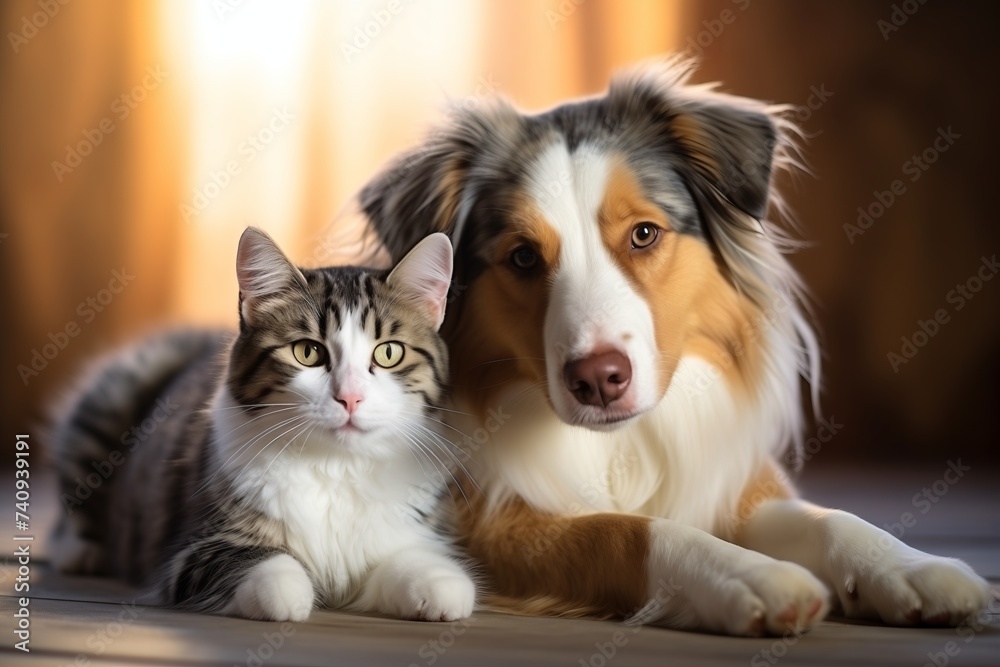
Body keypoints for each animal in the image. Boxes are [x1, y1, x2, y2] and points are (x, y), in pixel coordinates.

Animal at [50, 227, 476, 624]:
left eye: (388, 353)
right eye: (307, 352)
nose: (350, 398)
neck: (336, 464)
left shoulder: (402, 534)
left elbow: (414, 559)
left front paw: (442, 589)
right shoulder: (195, 548)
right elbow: (269, 566)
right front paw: (291, 595)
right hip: (115, 391)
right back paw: (81, 552)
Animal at [354, 58, 992, 636]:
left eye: (644, 233)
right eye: (524, 257)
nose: (598, 379)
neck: (621, 443)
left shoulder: (734, 482)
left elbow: (830, 519)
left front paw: (912, 569)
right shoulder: (493, 527)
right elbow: (628, 531)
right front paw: (754, 576)